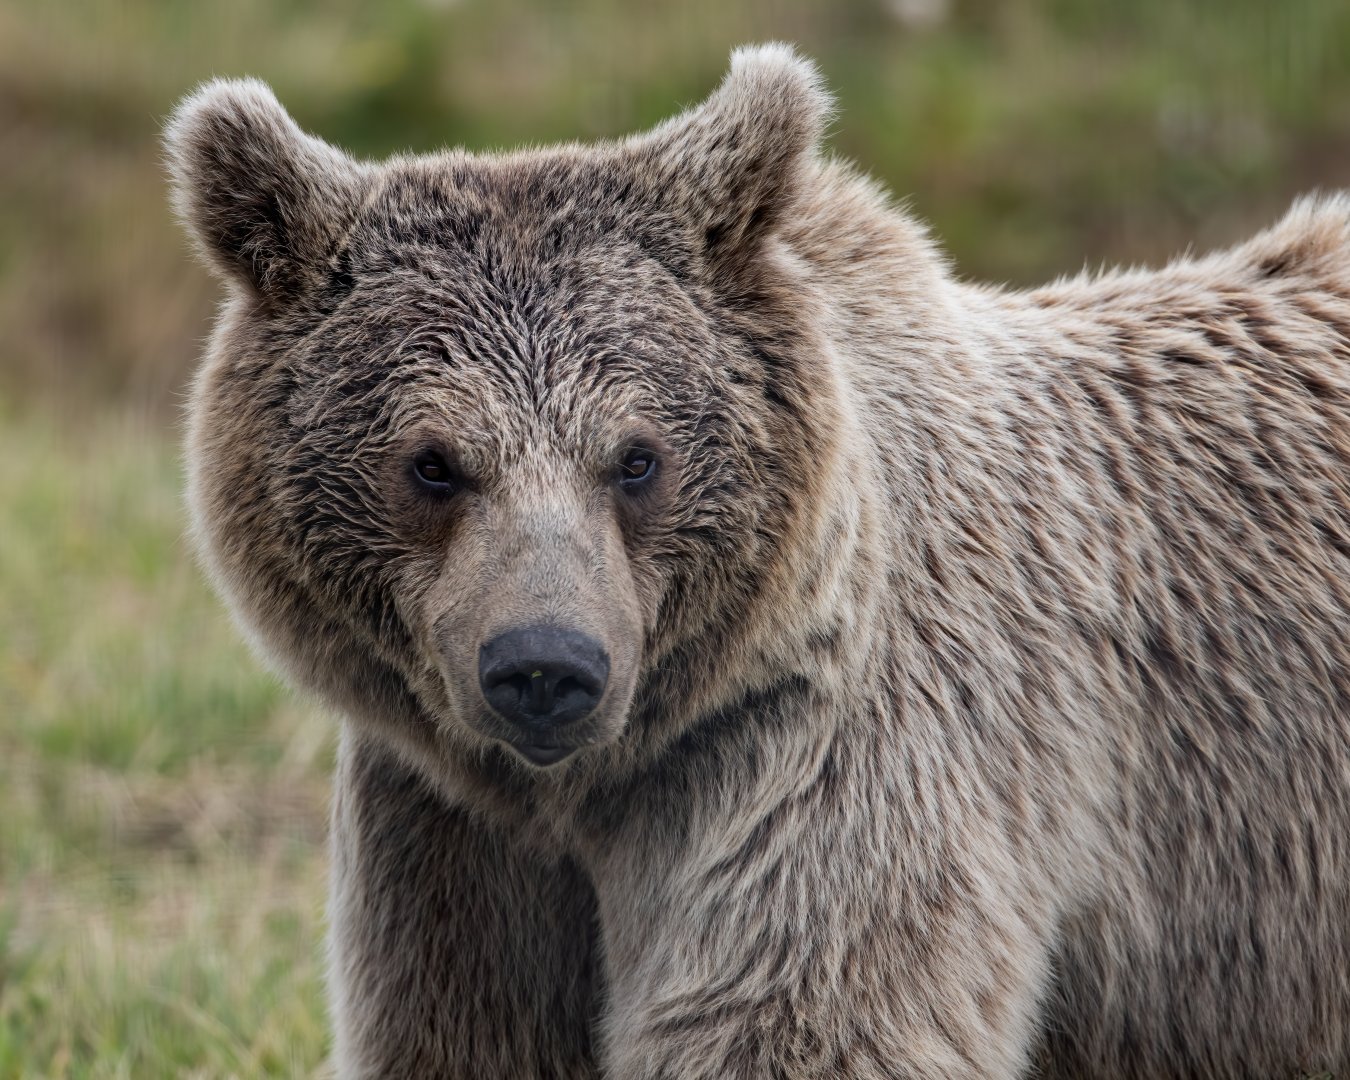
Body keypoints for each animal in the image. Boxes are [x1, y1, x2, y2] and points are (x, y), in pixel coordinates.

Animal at [165, 43, 1350, 1079]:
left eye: (636, 456)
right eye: (433, 463)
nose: (545, 666)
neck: (592, 786)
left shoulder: (822, 760)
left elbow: (795, 1020)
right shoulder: (452, 839)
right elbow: (463, 1033)